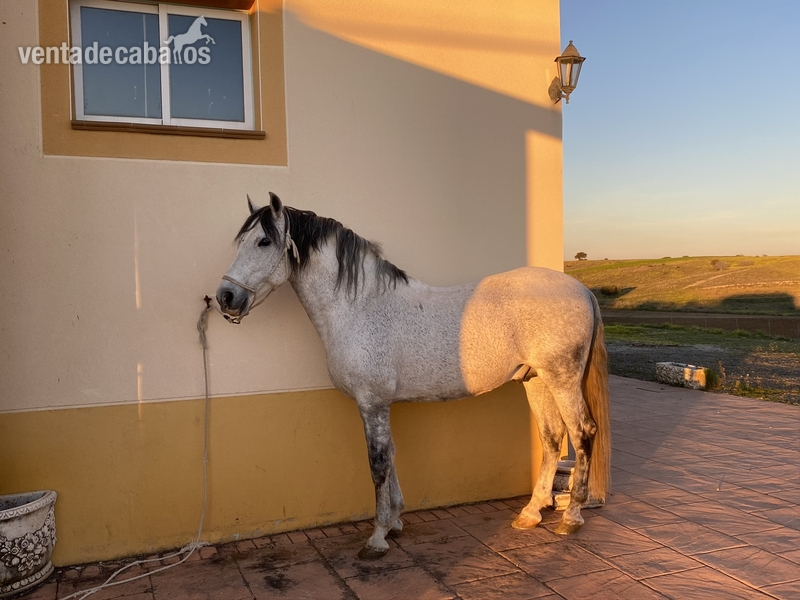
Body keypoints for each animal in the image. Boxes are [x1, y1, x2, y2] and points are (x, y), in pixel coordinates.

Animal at [216, 193, 611, 560]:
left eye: (263, 241)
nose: (225, 297)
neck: (357, 306)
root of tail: (581, 289)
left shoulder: (372, 402)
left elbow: (377, 463)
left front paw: (377, 537)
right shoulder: (380, 404)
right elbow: (390, 454)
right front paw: (395, 521)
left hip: (562, 379)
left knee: (582, 432)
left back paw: (571, 518)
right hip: (536, 380)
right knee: (552, 437)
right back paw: (530, 513)